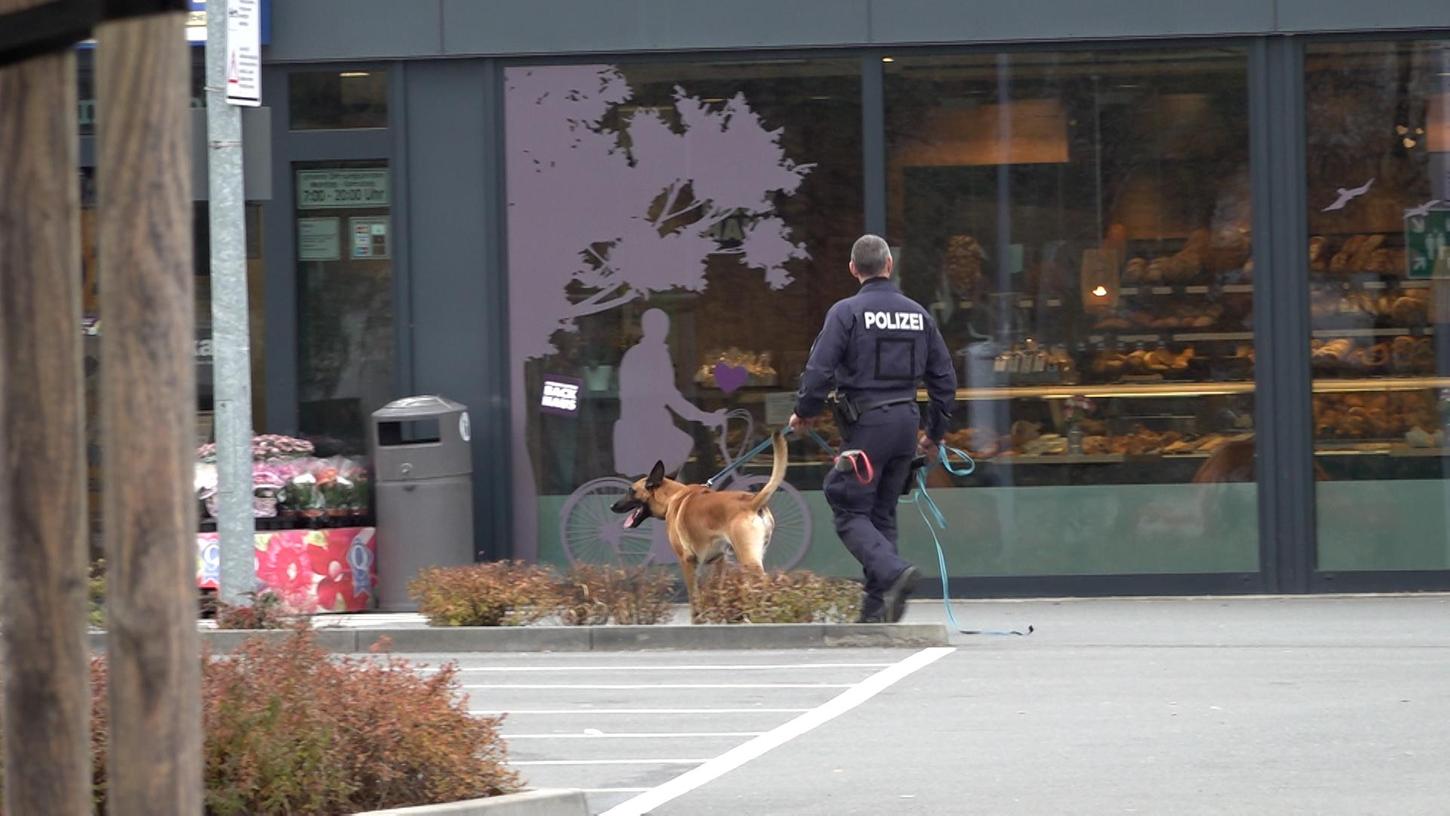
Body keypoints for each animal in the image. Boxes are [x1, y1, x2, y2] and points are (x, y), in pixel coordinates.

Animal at [611, 434, 794, 620]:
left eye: (631, 490)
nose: (612, 506)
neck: (673, 497)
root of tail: (751, 501)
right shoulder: (720, 561)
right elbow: (718, 592)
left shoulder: (687, 561)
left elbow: (694, 597)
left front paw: (697, 618)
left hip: (749, 561)